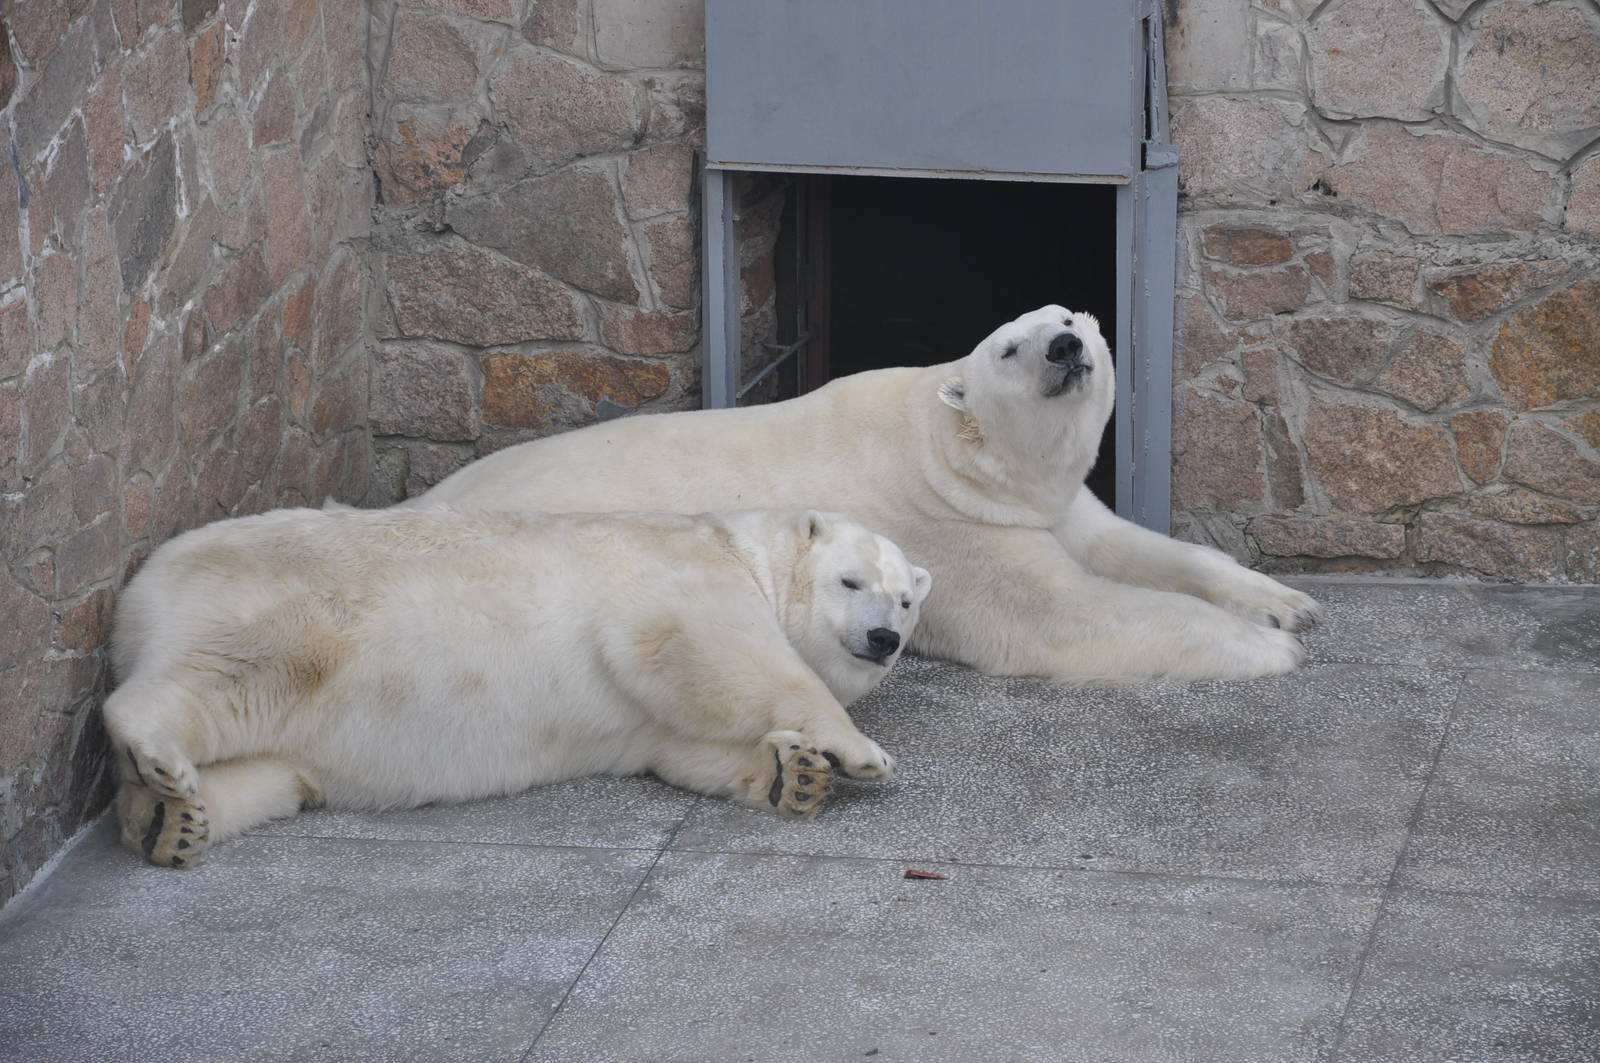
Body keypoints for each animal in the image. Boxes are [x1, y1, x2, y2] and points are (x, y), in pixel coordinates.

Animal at [103, 506, 931, 868]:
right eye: (851, 581)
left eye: (906, 600)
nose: (883, 638)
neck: (743, 551)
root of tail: (138, 597)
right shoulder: (683, 580)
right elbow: (700, 650)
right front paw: (858, 752)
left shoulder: (651, 719)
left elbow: (680, 743)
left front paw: (795, 776)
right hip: (288, 610)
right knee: (238, 675)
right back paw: (157, 754)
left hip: (294, 729)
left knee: (272, 771)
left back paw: (170, 818)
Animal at [415, 306, 1320, 684]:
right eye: (1009, 347)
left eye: (1069, 317)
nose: (1067, 348)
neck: (946, 451)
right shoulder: (951, 524)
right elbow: (1068, 614)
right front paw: (1266, 647)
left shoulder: (1045, 503)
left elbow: (1133, 546)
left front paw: (1287, 604)